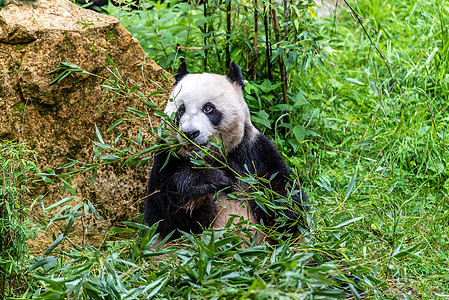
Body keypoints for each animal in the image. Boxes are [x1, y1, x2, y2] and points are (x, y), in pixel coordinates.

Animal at [144, 61, 308, 241]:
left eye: (208, 108)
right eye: (180, 110)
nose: (190, 133)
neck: (209, 158)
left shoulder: (253, 152)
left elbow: (287, 202)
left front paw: (276, 205)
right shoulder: (166, 158)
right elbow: (166, 218)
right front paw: (208, 180)